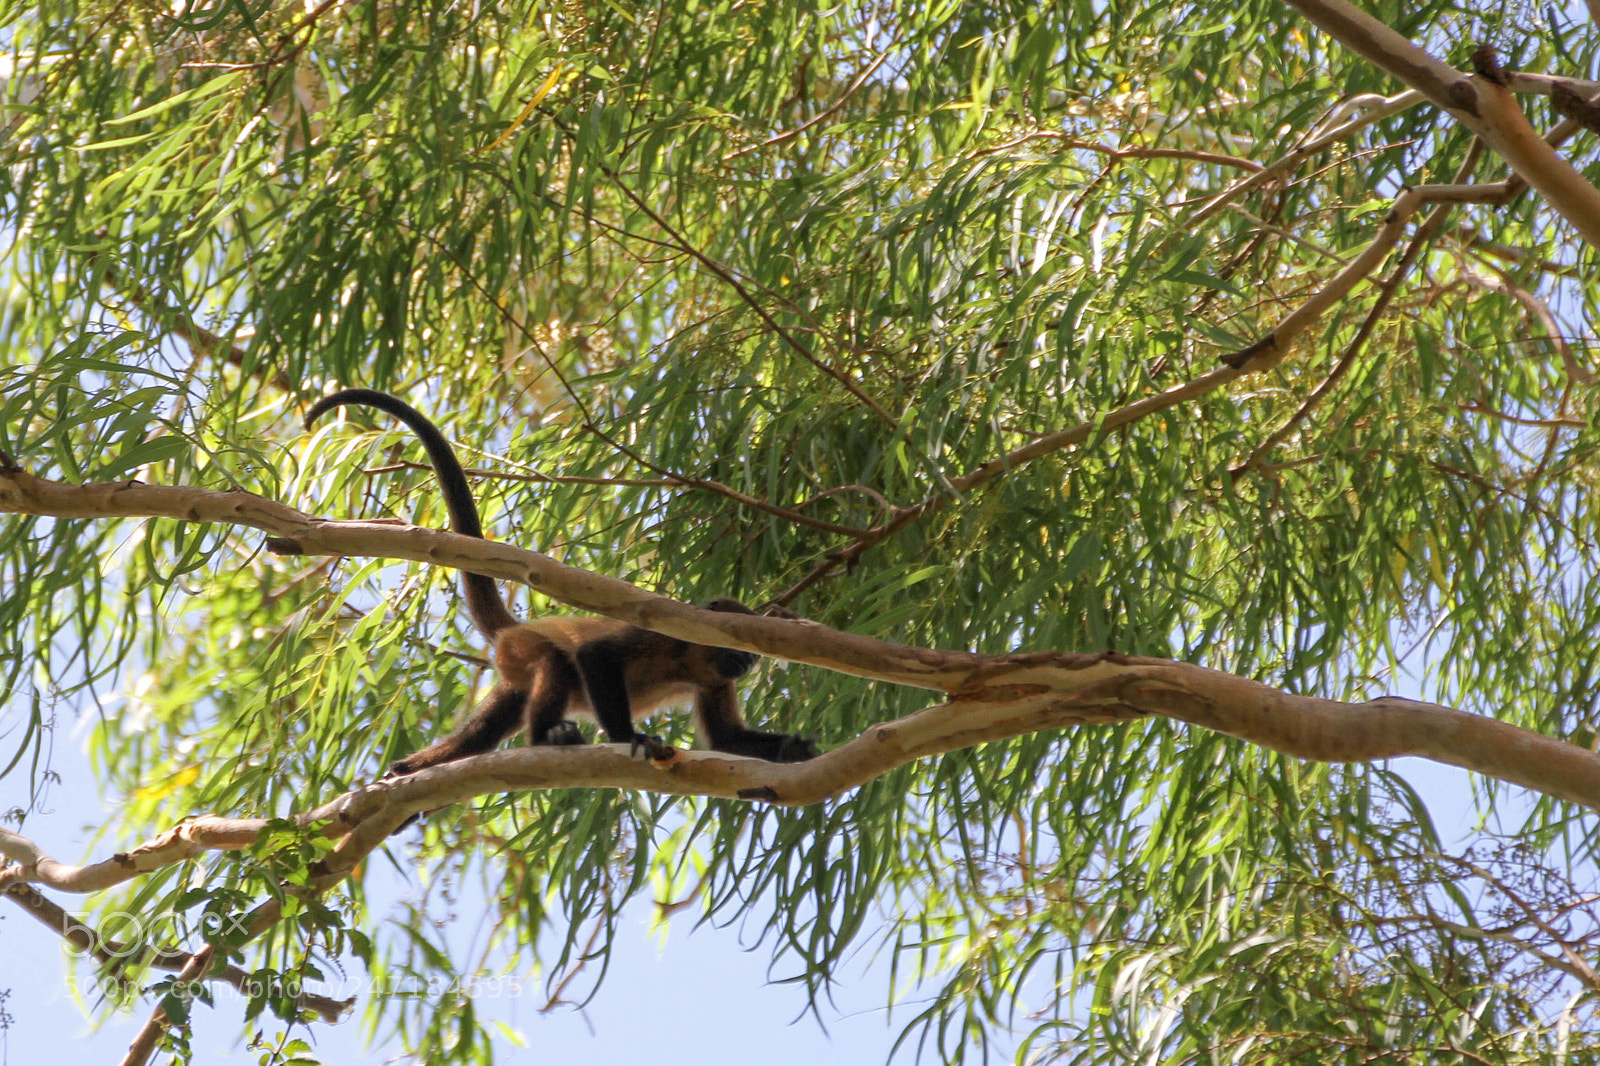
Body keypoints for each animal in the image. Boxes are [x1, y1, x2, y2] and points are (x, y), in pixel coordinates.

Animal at [304, 388, 819, 776]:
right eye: (739, 644)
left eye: (752, 653)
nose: (747, 662)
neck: (686, 656)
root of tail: (516, 629)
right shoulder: (659, 631)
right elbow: (596, 654)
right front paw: (628, 736)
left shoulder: (713, 679)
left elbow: (728, 738)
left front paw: (794, 748)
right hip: (525, 649)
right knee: (556, 662)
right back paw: (545, 737)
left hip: (511, 676)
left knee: (483, 732)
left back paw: (414, 768)